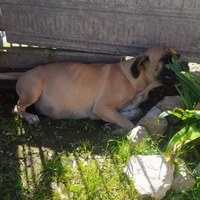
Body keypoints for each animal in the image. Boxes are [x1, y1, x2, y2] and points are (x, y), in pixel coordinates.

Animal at [0, 46, 183, 134]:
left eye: (177, 56)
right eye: (165, 60)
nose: (184, 64)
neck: (137, 82)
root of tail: (25, 72)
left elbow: (135, 112)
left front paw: (122, 118)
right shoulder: (101, 108)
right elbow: (129, 124)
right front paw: (115, 128)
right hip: (35, 87)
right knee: (16, 108)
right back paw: (30, 117)